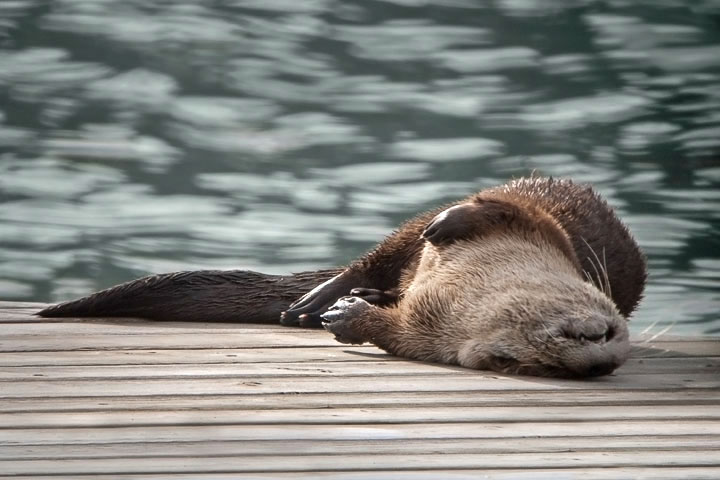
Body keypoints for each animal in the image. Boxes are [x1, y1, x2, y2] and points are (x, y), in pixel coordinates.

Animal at [39, 177, 648, 378]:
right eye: (605, 334)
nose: (599, 348)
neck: (473, 292)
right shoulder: (546, 235)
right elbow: (511, 210)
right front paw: (452, 223)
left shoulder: (428, 333)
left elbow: (393, 332)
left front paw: (352, 318)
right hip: (407, 234)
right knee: (386, 249)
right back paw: (318, 297)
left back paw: (341, 300)